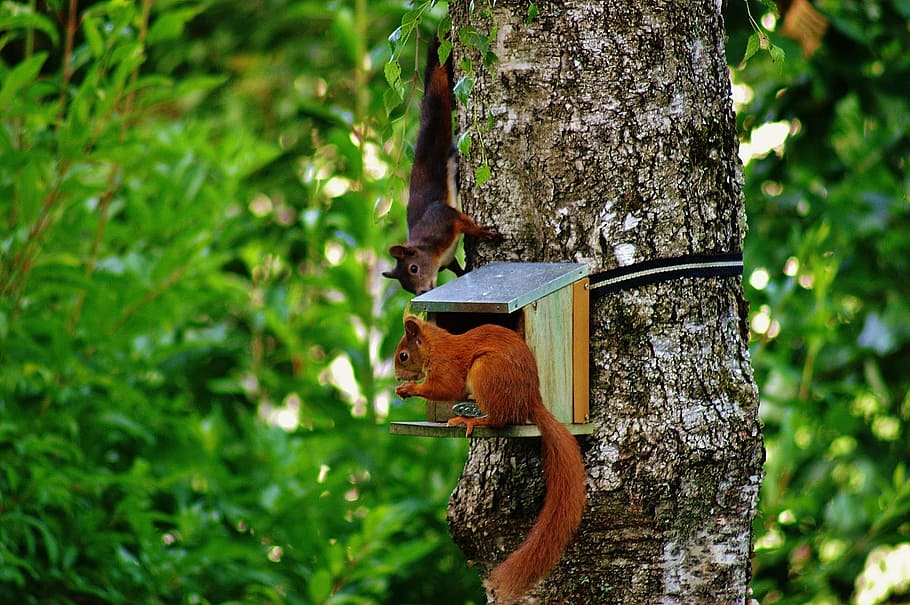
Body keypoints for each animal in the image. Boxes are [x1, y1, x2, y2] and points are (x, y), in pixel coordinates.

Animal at [382, 39, 499, 295]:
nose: (422, 293)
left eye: (413, 268)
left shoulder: (442, 220)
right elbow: (456, 267)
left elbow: (462, 221)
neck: (431, 251)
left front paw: (482, 232)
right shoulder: (447, 258)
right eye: (405, 286)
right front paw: (464, 272)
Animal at [393, 315, 587, 602]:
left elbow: (445, 387)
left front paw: (409, 388)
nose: (397, 376)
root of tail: (531, 400)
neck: (435, 347)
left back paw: (470, 420)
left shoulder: (447, 367)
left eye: (403, 356)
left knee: (498, 419)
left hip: (486, 370)